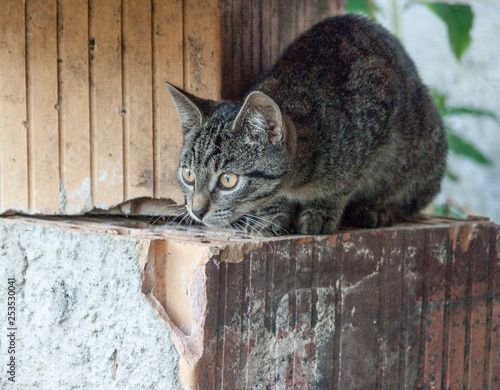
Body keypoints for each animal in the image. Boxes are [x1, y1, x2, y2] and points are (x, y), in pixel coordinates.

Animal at [166, 13, 448, 236]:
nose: (196, 211)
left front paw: (320, 212)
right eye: (188, 174)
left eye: (227, 180)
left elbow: (342, 186)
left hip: (425, 157)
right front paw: (272, 214)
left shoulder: (377, 113)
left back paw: (377, 209)